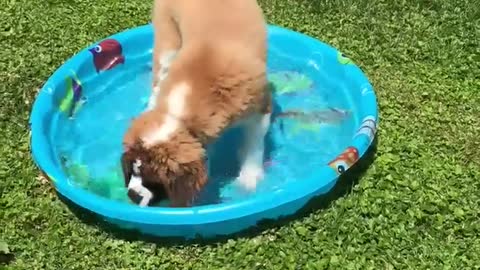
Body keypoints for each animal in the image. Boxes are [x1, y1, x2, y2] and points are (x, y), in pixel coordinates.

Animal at [120, 0, 270, 208]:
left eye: (154, 180)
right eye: (133, 170)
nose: (133, 196)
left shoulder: (259, 107)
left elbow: (254, 143)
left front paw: (249, 176)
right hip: (167, 40)